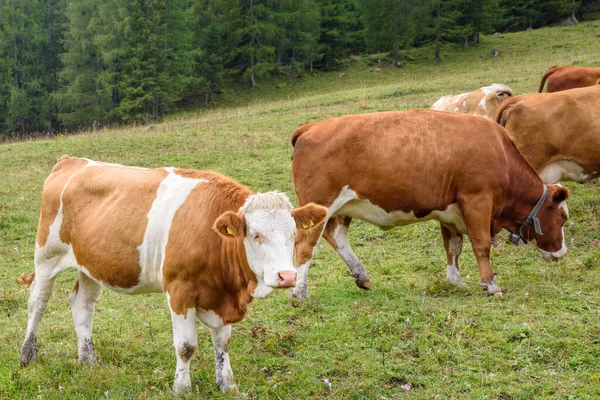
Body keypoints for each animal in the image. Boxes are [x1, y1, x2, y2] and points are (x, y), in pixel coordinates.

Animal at [19, 155, 328, 394]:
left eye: (293, 234)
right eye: (256, 235)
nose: (287, 276)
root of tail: (72, 161)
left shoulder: (222, 297)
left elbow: (222, 342)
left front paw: (227, 384)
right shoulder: (179, 290)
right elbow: (186, 346)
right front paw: (182, 388)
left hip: (91, 265)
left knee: (82, 306)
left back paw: (88, 360)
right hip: (46, 256)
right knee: (37, 303)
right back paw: (27, 355)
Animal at [290, 111, 572, 298]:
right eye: (562, 217)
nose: (562, 252)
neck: (501, 152)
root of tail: (311, 126)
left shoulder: (450, 212)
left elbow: (453, 247)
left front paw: (456, 281)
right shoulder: (477, 200)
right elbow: (481, 245)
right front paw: (490, 284)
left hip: (341, 209)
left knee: (337, 237)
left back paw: (361, 276)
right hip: (319, 207)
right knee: (305, 246)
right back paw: (300, 292)